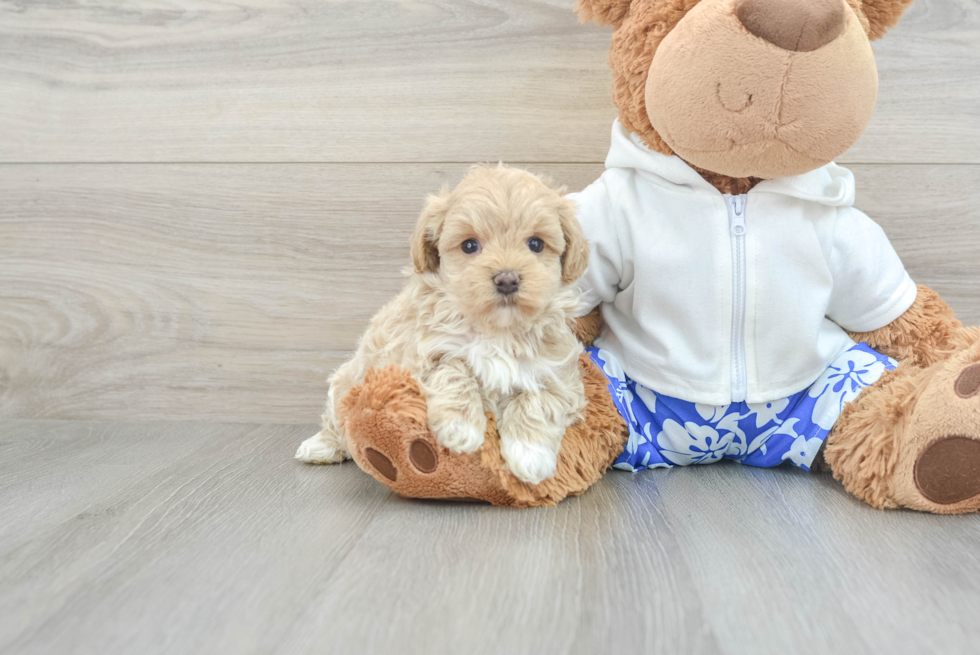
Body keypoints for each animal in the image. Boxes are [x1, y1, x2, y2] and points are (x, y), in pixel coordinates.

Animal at [294, 164, 588, 482]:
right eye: (469, 245)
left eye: (536, 244)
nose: (507, 279)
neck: (496, 331)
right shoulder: (420, 357)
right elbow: (453, 369)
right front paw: (461, 428)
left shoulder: (559, 374)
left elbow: (538, 402)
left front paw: (530, 456)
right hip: (346, 383)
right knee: (336, 420)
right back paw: (320, 446)